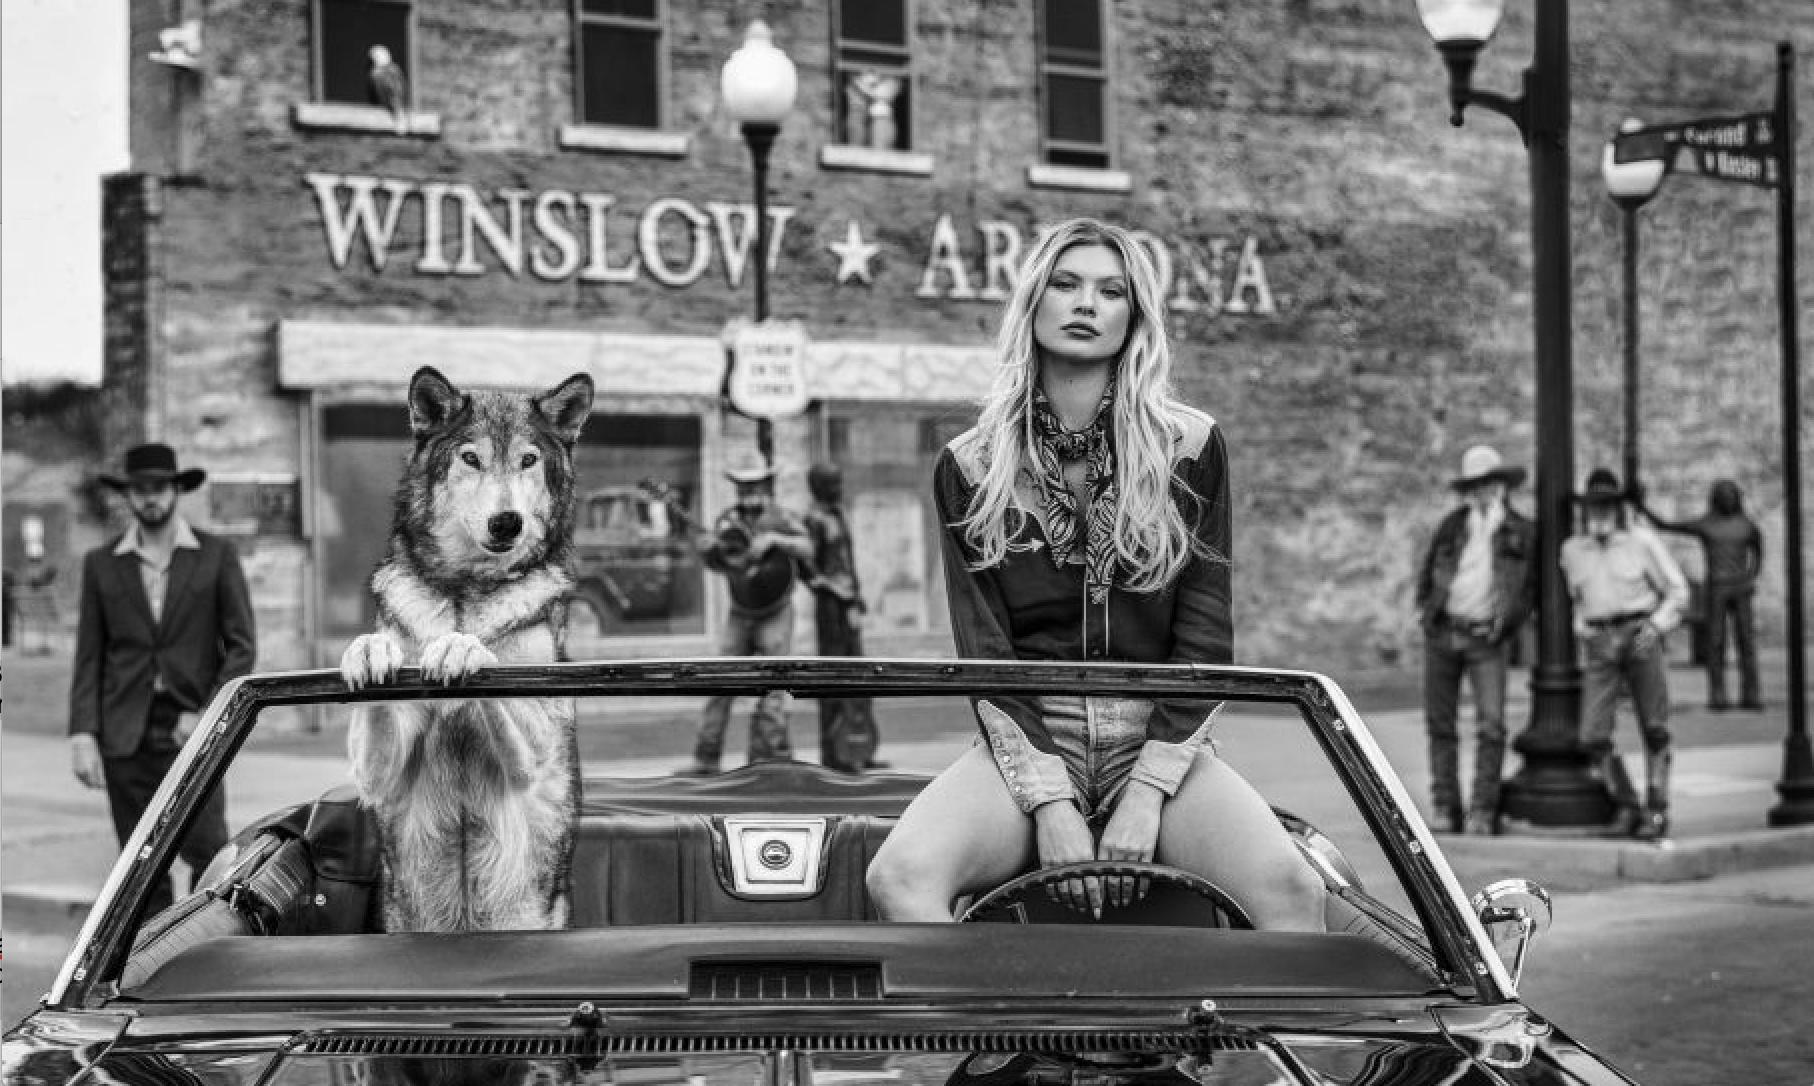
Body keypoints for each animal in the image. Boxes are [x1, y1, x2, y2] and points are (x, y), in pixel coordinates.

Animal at [341, 368, 594, 935]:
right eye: (471, 458)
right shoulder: (377, 773)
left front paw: (460, 647)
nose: (507, 522)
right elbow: (378, 664)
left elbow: (491, 675)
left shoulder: (532, 757)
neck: (465, 592)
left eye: (528, 460)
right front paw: (369, 649)